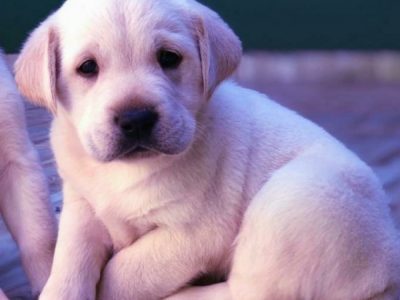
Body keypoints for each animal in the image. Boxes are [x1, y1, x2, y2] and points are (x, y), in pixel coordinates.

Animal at [14, 0, 400, 300]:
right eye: (88, 67)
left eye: (169, 58)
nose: (136, 118)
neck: (124, 172)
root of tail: (389, 271)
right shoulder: (81, 204)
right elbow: (70, 258)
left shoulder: (192, 234)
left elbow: (123, 274)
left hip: (293, 199)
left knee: (248, 293)